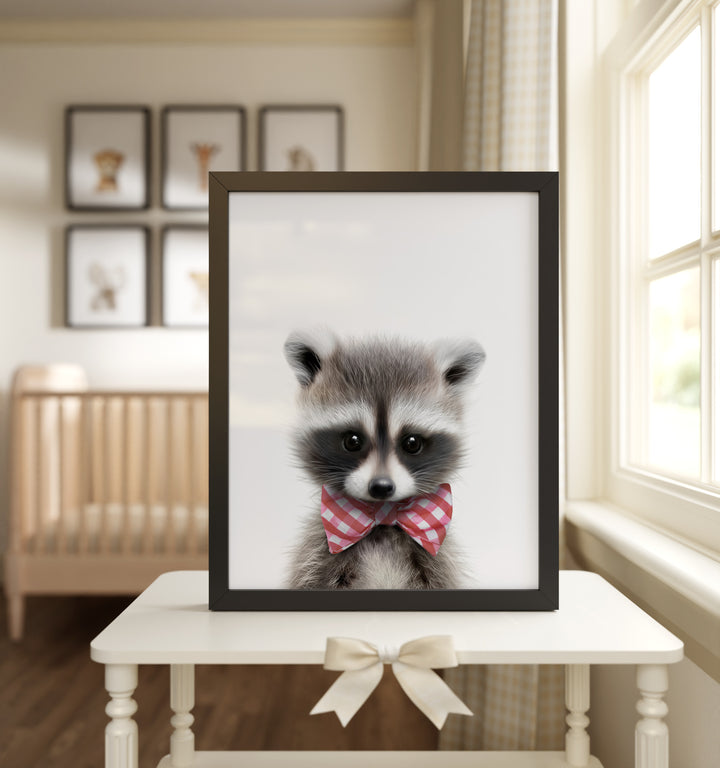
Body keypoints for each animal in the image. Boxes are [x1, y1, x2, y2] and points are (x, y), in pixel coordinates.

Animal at [283, 330, 485, 590]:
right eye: (352, 441)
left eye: (412, 443)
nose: (381, 487)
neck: (382, 521)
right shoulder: (317, 552)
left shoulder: (437, 560)